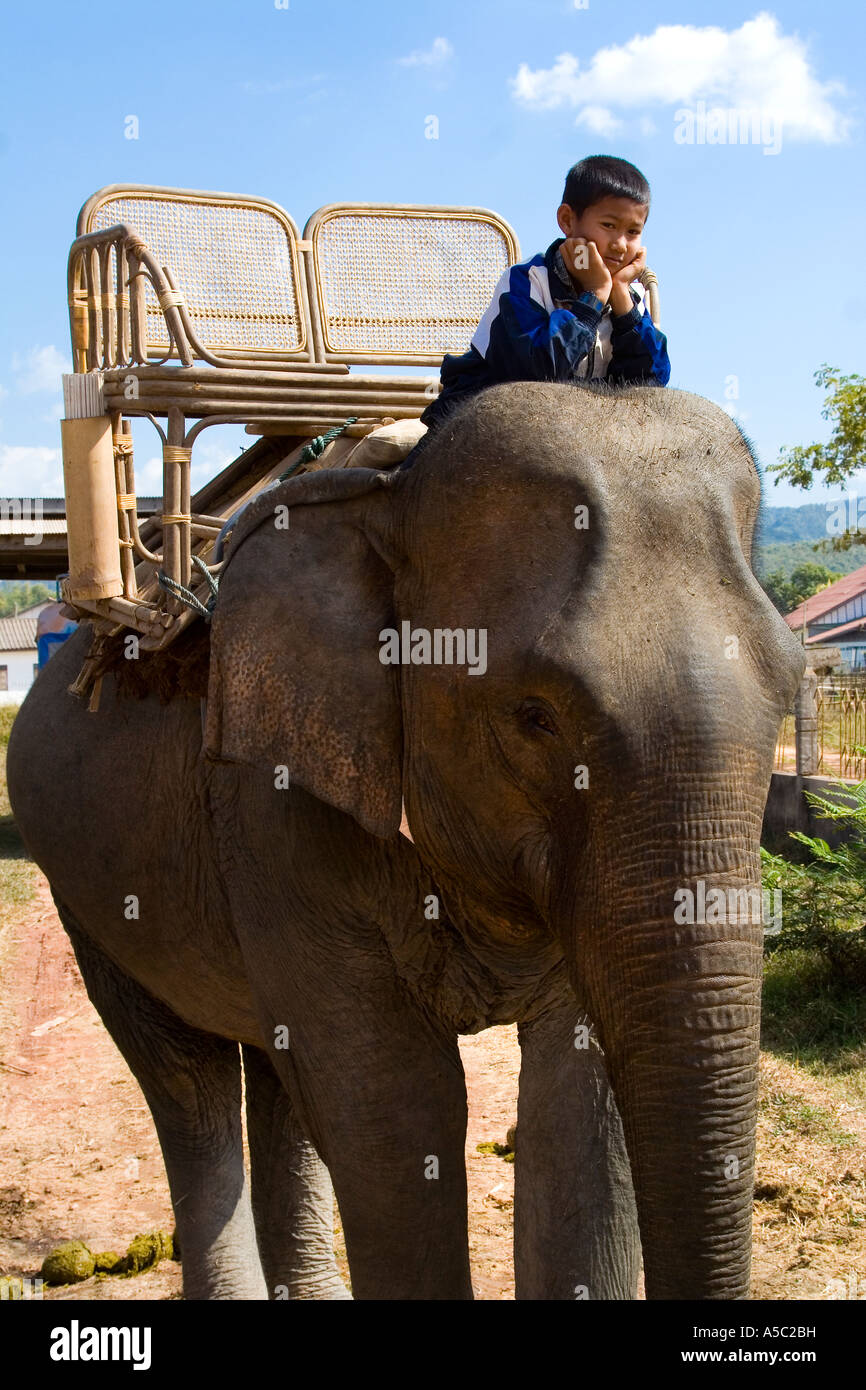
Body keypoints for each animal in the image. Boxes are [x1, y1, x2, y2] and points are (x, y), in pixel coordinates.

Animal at [7, 380, 805, 1300]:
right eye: (535, 717)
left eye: (792, 688)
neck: (391, 493)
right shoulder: (272, 801)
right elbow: (393, 1109)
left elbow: (576, 1105)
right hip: (87, 897)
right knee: (187, 1081)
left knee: (278, 1073)